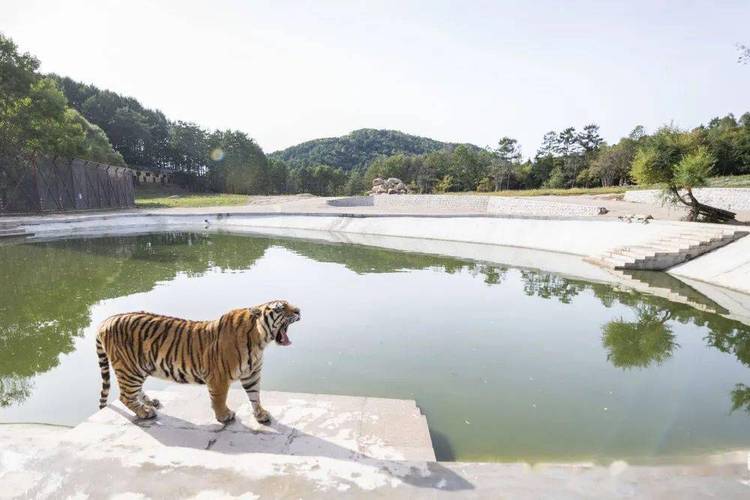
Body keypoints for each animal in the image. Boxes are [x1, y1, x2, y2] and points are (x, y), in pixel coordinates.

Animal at [95, 300, 302, 422]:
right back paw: (145, 412)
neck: (260, 340)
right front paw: (224, 416)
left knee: (134, 392)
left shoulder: (251, 374)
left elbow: (255, 396)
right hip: (129, 369)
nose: (299, 310)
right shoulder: (219, 377)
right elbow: (219, 398)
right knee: (125, 396)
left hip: (138, 368)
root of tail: (106, 321)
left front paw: (260, 414)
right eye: (281, 308)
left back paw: (150, 402)